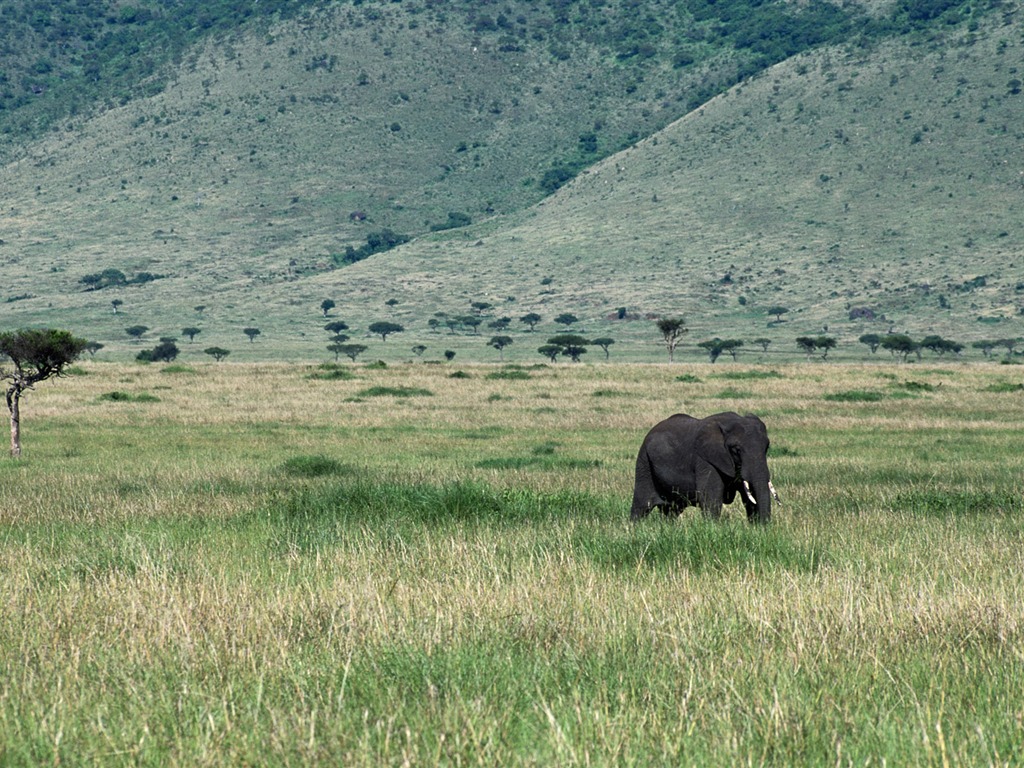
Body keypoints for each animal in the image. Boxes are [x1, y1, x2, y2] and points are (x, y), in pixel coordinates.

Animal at [626, 411, 778, 528]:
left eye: (766, 447)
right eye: (736, 450)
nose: (765, 527)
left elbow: (749, 497)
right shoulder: (705, 460)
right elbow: (711, 497)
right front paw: (714, 529)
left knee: (671, 510)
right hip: (644, 462)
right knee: (642, 505)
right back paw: (633, 529)